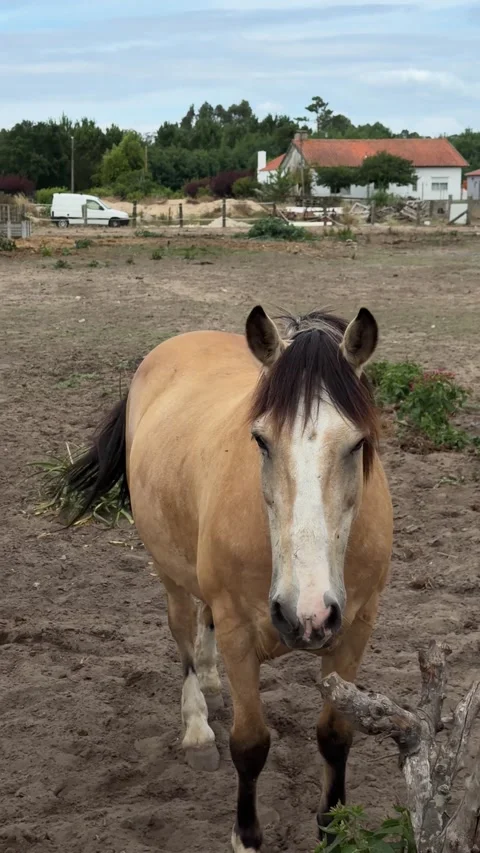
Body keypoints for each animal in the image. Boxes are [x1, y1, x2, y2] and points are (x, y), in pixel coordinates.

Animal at [64, 305, 393, 852]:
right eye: (260, 440)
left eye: (358, 443)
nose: (305, 614)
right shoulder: (241, 631)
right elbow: (250, 744)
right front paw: (246, 835)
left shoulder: (355, 629)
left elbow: (335, 735)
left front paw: (332, 831)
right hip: (170, 571)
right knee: (183, 631)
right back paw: (198, 727)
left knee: (203, 623)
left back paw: (213, 683)